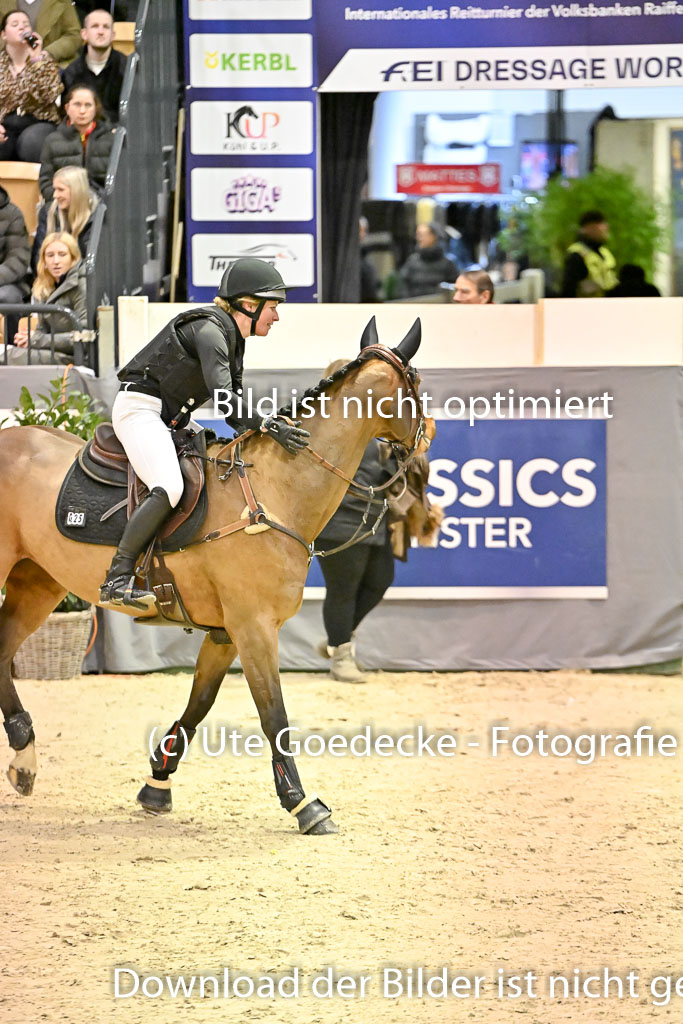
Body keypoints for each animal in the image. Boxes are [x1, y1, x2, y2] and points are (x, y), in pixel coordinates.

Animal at [0, 317, 424, 834]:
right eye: (416, 381)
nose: (427, 439)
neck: (273, 491)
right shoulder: (254, 628)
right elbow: (274, 716)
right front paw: (304, 804)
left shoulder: (225, 632)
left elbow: (198, 706)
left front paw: (157, 782)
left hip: (37, 582)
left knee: (2, 651)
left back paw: (24, 757)